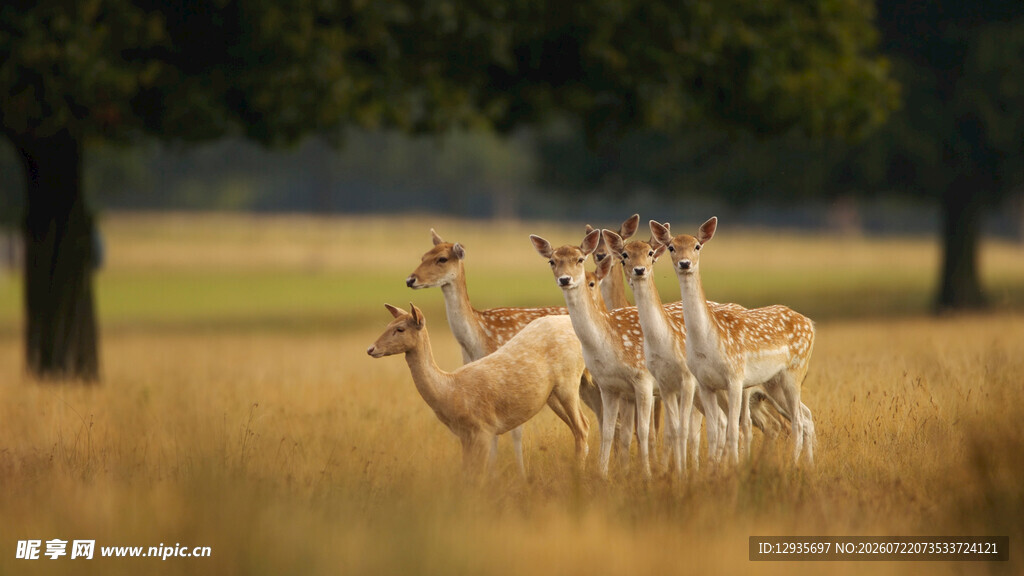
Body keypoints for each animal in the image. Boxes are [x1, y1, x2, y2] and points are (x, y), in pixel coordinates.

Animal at [367, 304, 590, 476]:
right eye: (388, 325)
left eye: (400, 329)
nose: (371, 349)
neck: (450, 391)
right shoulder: (465, 435)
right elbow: (466, 472)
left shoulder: (484, 428)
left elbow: (478, 476)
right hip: (551, 394)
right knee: (579, 427)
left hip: (569, 381)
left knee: (582, 426)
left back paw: (578, 475)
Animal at [651, 218, 816, 465]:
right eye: (672, 247)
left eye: (697, 246)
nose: (685, 263)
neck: (708, 341)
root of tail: (810, 323)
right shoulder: (705, 383)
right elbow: (713, 431)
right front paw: (713, 468)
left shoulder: (736, 377)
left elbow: (731, 430)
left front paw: (735, 467)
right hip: (774, 382)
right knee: (804, 417)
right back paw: (808, 463)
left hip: (795, 371)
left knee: (797, 420)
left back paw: (794, 464)